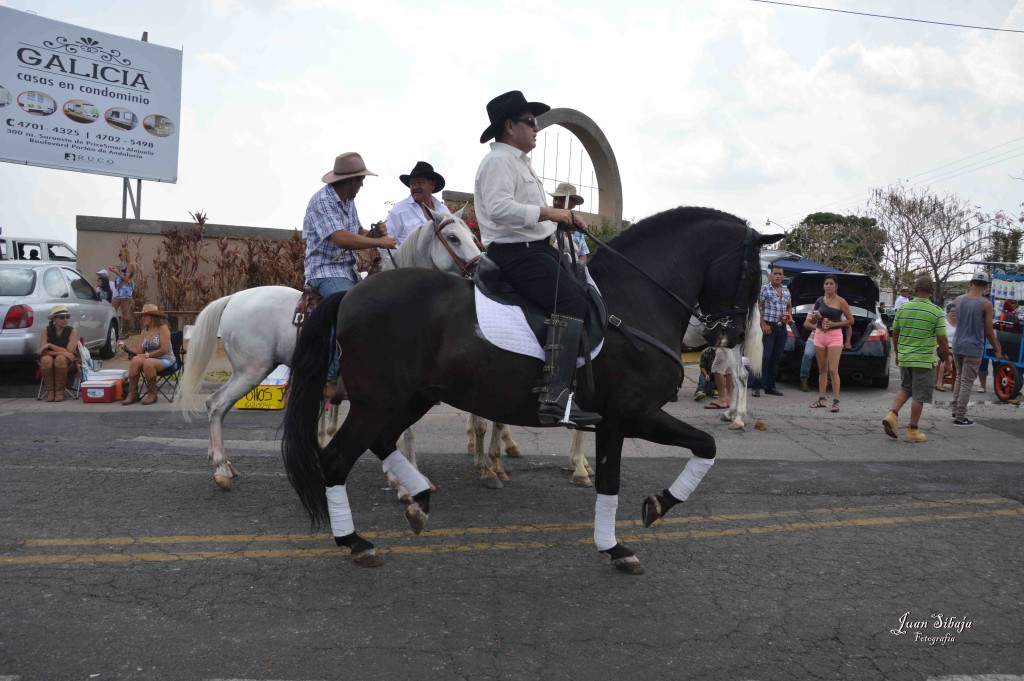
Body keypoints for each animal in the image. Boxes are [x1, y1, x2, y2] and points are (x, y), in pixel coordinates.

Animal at [176, 209, 479, 491]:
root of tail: (233, 298)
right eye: (453, 237)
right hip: (251, 371)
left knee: (214, 405)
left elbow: (406, 432)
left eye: (472, 237)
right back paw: (221, 469)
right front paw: (403, 481)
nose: (478, 270)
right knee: (216, 405)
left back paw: (224, 463)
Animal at [569, 305, 761, 485]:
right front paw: (580, 463)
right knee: (739, 375)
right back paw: (731, 413)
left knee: (740, 375)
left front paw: (579, 466)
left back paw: (738, 418)